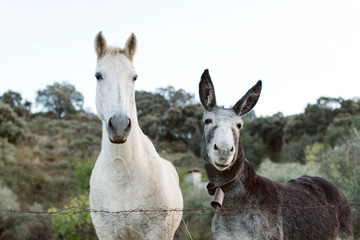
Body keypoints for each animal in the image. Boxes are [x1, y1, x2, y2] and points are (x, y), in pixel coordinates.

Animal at [89, 32, 184, 240]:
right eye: (98, 75)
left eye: (134, 77)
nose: (119, 126)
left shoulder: (155, 230)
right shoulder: (105, 230)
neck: (122, 174)